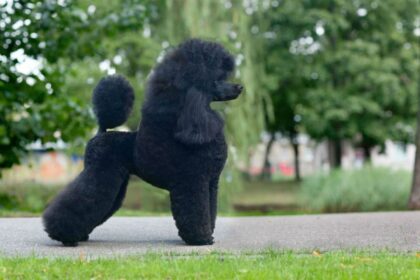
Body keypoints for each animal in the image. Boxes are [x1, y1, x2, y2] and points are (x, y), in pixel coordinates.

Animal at [42, 38, 243, 245]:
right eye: (216, 80)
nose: (239, 87)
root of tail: (100, 133)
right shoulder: (193, 181)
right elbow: (197, 210)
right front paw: (200, 239)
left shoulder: (211, 182)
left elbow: (210, 209)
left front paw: (208, 236)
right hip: (100, 172)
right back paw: (64, 236)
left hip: (117, 179)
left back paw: (79, 235)